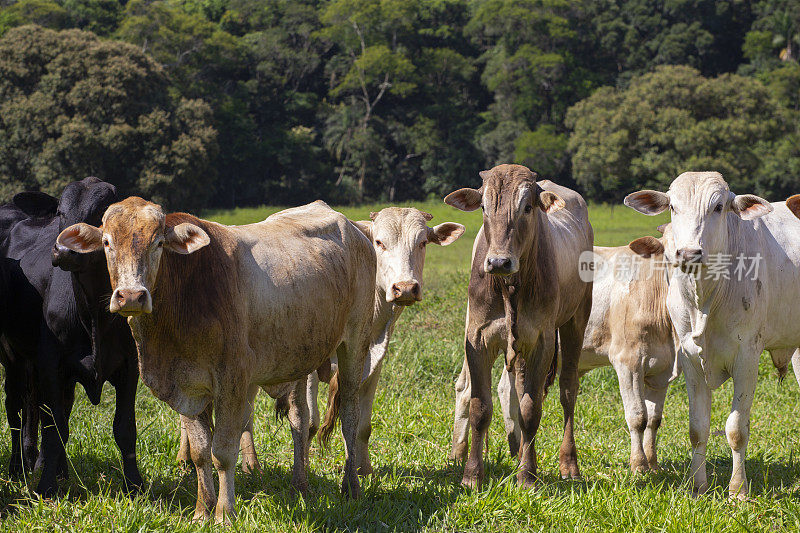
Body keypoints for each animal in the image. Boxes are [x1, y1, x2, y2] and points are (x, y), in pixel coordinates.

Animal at [0, 177, 141, 492]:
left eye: (101, 213)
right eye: (60, 213)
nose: (64, 251)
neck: (94, 317)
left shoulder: (131, 365)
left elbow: (124, 428)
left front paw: (135, 485)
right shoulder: (52, 365)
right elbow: (55, 428)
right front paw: (46, 486)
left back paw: (50, 466)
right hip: (12, 357)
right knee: (17, 410)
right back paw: (18, 467)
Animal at [56, 197, 376, 520]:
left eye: (158, 243)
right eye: (107, 242)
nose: (132, 296)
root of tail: (353, 227)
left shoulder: (231, 381)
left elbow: (222, 451)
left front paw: (224, 511)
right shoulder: (187, 387)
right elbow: (200, 452)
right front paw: (202, 508)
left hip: (355, 344)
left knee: (349, 416)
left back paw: (351, 487)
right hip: (298, 358)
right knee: (300, 420)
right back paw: (300, 486)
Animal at [444, 163, 592, 486]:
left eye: (527, 207)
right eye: (484, 207)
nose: (499, 262)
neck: (509, 285)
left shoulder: (542, 341)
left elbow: (530, 409)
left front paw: (527, 474)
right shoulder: (478, 339)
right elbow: (480, 406)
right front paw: (472, 474)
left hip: (576, 321)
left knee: (567, 391)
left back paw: (569, 464)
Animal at [624, 171, 800, 498]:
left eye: (718, 207)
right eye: (672, 206)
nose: (688, 253)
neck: (705, 297)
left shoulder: (747, 358)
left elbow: (736, 429)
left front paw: (738, 489)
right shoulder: (690, 359)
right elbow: (697, 428)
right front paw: (698, 485)